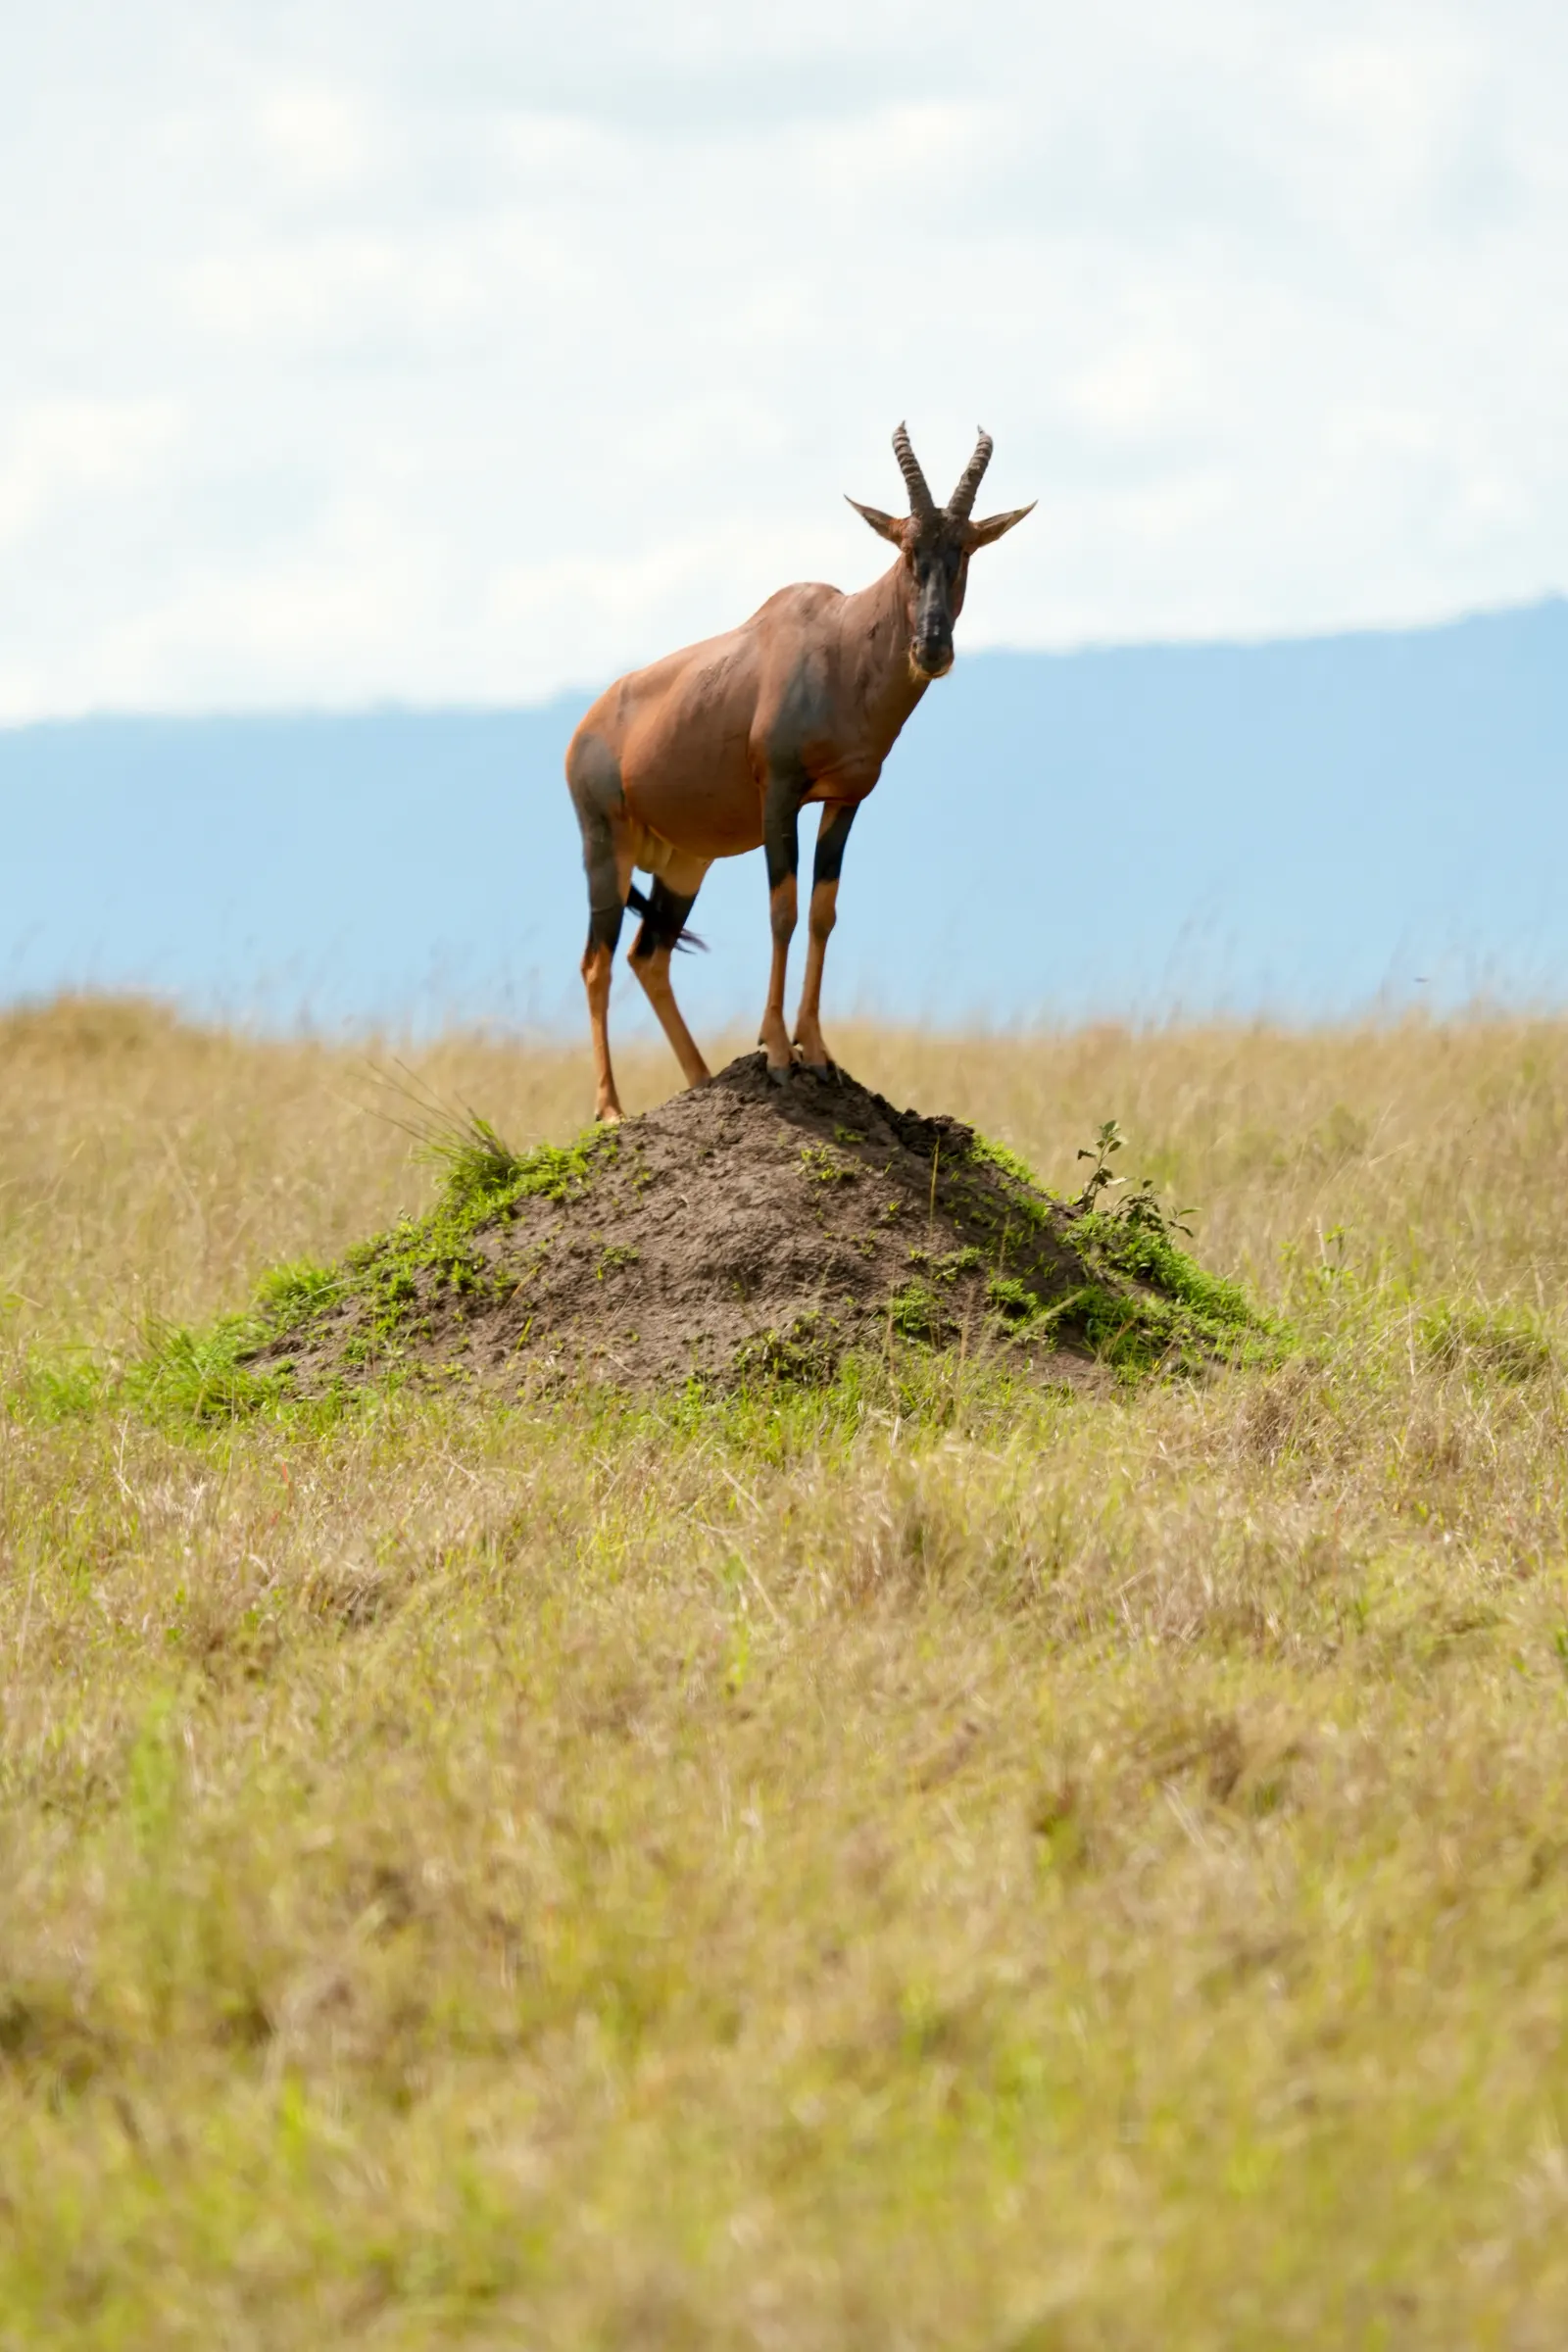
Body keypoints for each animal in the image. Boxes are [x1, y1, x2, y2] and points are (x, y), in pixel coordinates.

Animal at [565, 424, 1034, 1121]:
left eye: (967, 548)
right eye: (905, 548)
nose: (932, 648)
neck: (837, 643)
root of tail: (587, 725)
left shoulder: (845, 801)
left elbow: (821, 913)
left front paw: (817, 1053)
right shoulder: (779, 797)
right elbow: (782, 912)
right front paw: (780, 1053)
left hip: (685, 863)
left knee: (649, 955)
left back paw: (702, 1081)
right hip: (606, 845)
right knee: (596, 962)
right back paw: (612, 1110)